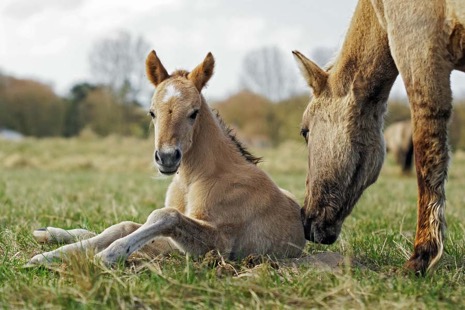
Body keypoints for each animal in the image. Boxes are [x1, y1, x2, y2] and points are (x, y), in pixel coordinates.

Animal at [28, 50, 304, 266]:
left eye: (194, 113)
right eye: (152, 112)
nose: (168, 158)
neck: (195, 179)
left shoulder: (220, 244)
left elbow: (164, 216)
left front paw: (107, 256)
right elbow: (126, 226)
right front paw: (49, 256)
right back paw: (50, 233)